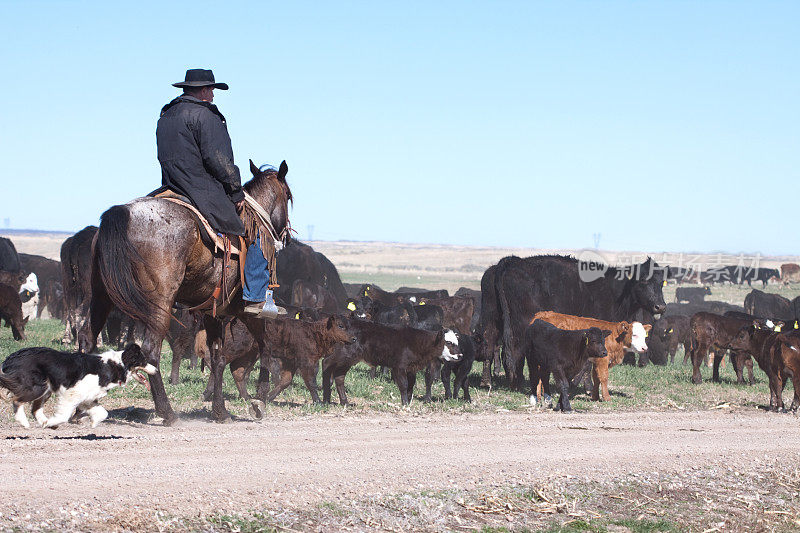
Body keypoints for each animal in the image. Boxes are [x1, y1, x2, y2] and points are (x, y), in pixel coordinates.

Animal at [76, 159, 290, 424]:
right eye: (288, 196)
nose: (285, 236)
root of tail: (122, 214)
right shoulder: (247, 309)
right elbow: (265, 346)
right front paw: (258, 399)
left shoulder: (212, 311)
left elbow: (217, 357)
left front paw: (220, 410)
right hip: (160, 304)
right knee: (150, 352)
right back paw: (166, 411)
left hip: (101, 297)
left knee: (88, 338)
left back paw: (80, 407)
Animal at [484, 254, 664, 390]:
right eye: (643, 280)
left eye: (661, 283)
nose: (660, 306)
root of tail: (513, 261)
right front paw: (583, 385)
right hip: (522, 323)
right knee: (515, 351)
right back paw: (517, 382)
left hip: (493, 319)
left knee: (489, 345)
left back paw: (488, 382)